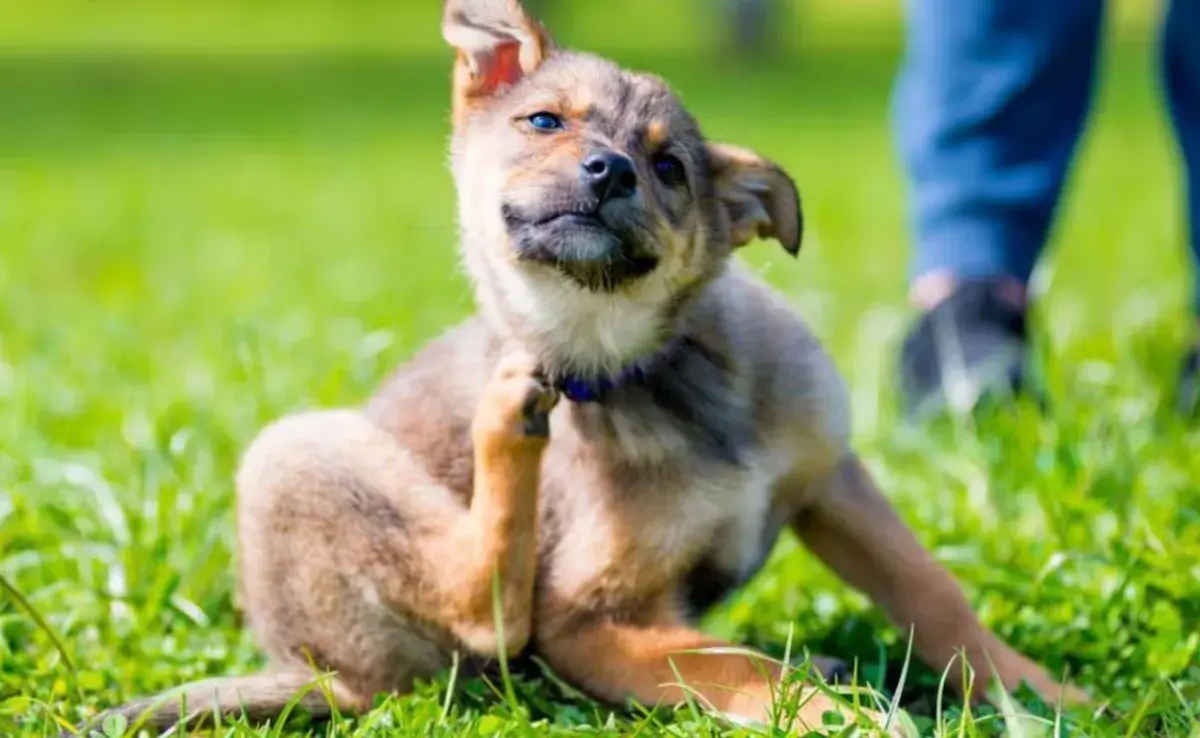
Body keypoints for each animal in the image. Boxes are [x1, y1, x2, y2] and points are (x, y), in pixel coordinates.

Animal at [75, 2, 1089, 734]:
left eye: (672, 168)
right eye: (544, 122)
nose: (609, 172)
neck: (645, 367)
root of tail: (313, 673)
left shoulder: (831, 478)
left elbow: (933, 593)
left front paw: (1037, 691)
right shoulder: (586, 621)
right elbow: (733, 665)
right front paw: (834, 715)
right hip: (297, 453)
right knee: (484, 608)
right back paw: (506, 424)